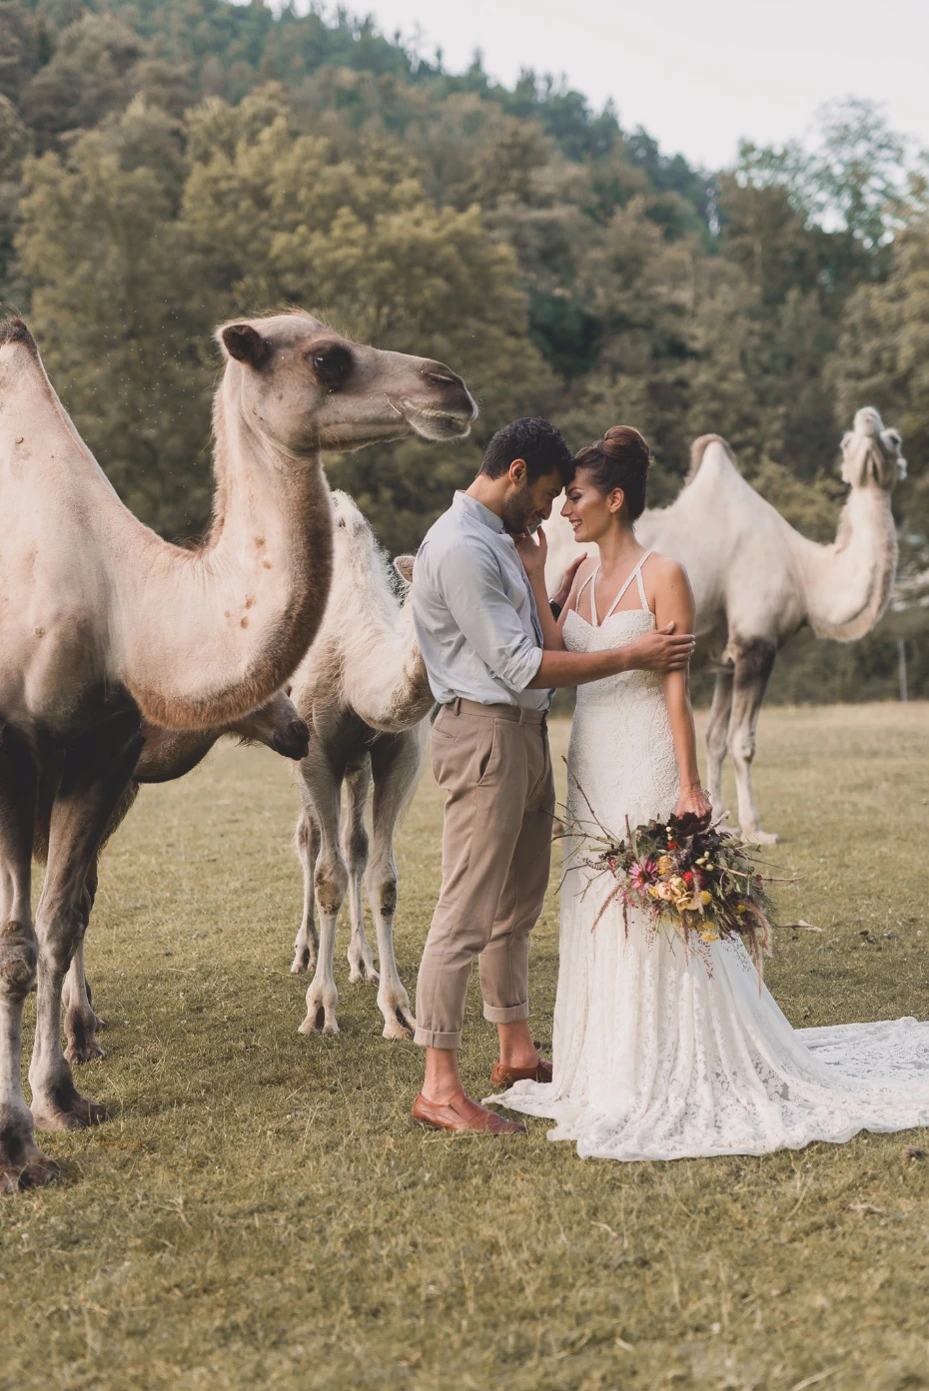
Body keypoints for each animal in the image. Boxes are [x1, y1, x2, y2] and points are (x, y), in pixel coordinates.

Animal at [290, 495, 436, 1040]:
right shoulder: (313, 752)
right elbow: (327, 876)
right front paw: (319, 1010)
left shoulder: (399, 755)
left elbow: (383, 879)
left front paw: (397, 1011)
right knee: (310, 839)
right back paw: (306, 952)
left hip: (359, 766)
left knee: (355, 846)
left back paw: (361, 960)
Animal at [545, 406, 906, 840]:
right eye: (847, 442)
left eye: (894, 439)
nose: (867, 417)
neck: (804, 570)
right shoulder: (756, 641)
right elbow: (742, 743)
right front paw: (755, 829)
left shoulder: (728, 659)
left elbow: (714, 737)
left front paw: (721, 822)